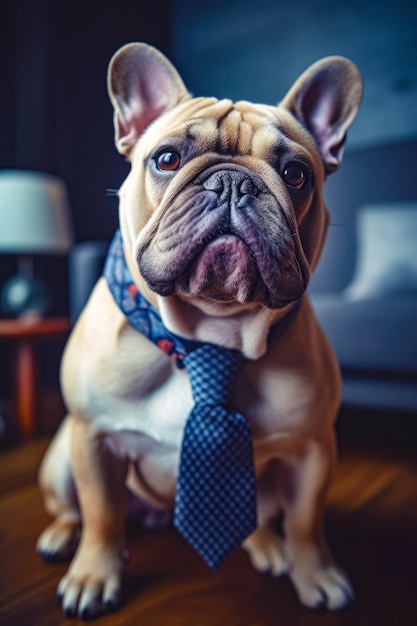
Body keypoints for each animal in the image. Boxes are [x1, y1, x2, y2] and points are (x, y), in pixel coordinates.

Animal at [36, 41, 360, 616]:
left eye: (297, 173)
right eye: (167, 159)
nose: (233, 181)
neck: (209, 334)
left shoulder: (313, 449)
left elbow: (306, 521)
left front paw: (316, 573)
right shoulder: (93, 439)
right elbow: (102, 517)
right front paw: (94, 575)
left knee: (260, 519)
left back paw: (267, 546)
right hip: (60, 460)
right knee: (76, 509)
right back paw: (60, 536)